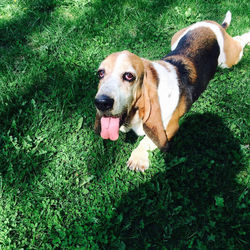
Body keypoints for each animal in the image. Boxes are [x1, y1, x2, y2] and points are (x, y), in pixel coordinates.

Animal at [94, 11, 250, 172]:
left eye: (129, 76)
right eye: (100, 73)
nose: (101, 103)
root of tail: (214, 25)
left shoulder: (169, 127)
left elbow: (148, 140)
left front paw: (138, 158)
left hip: (229, 59)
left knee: (239, 41)